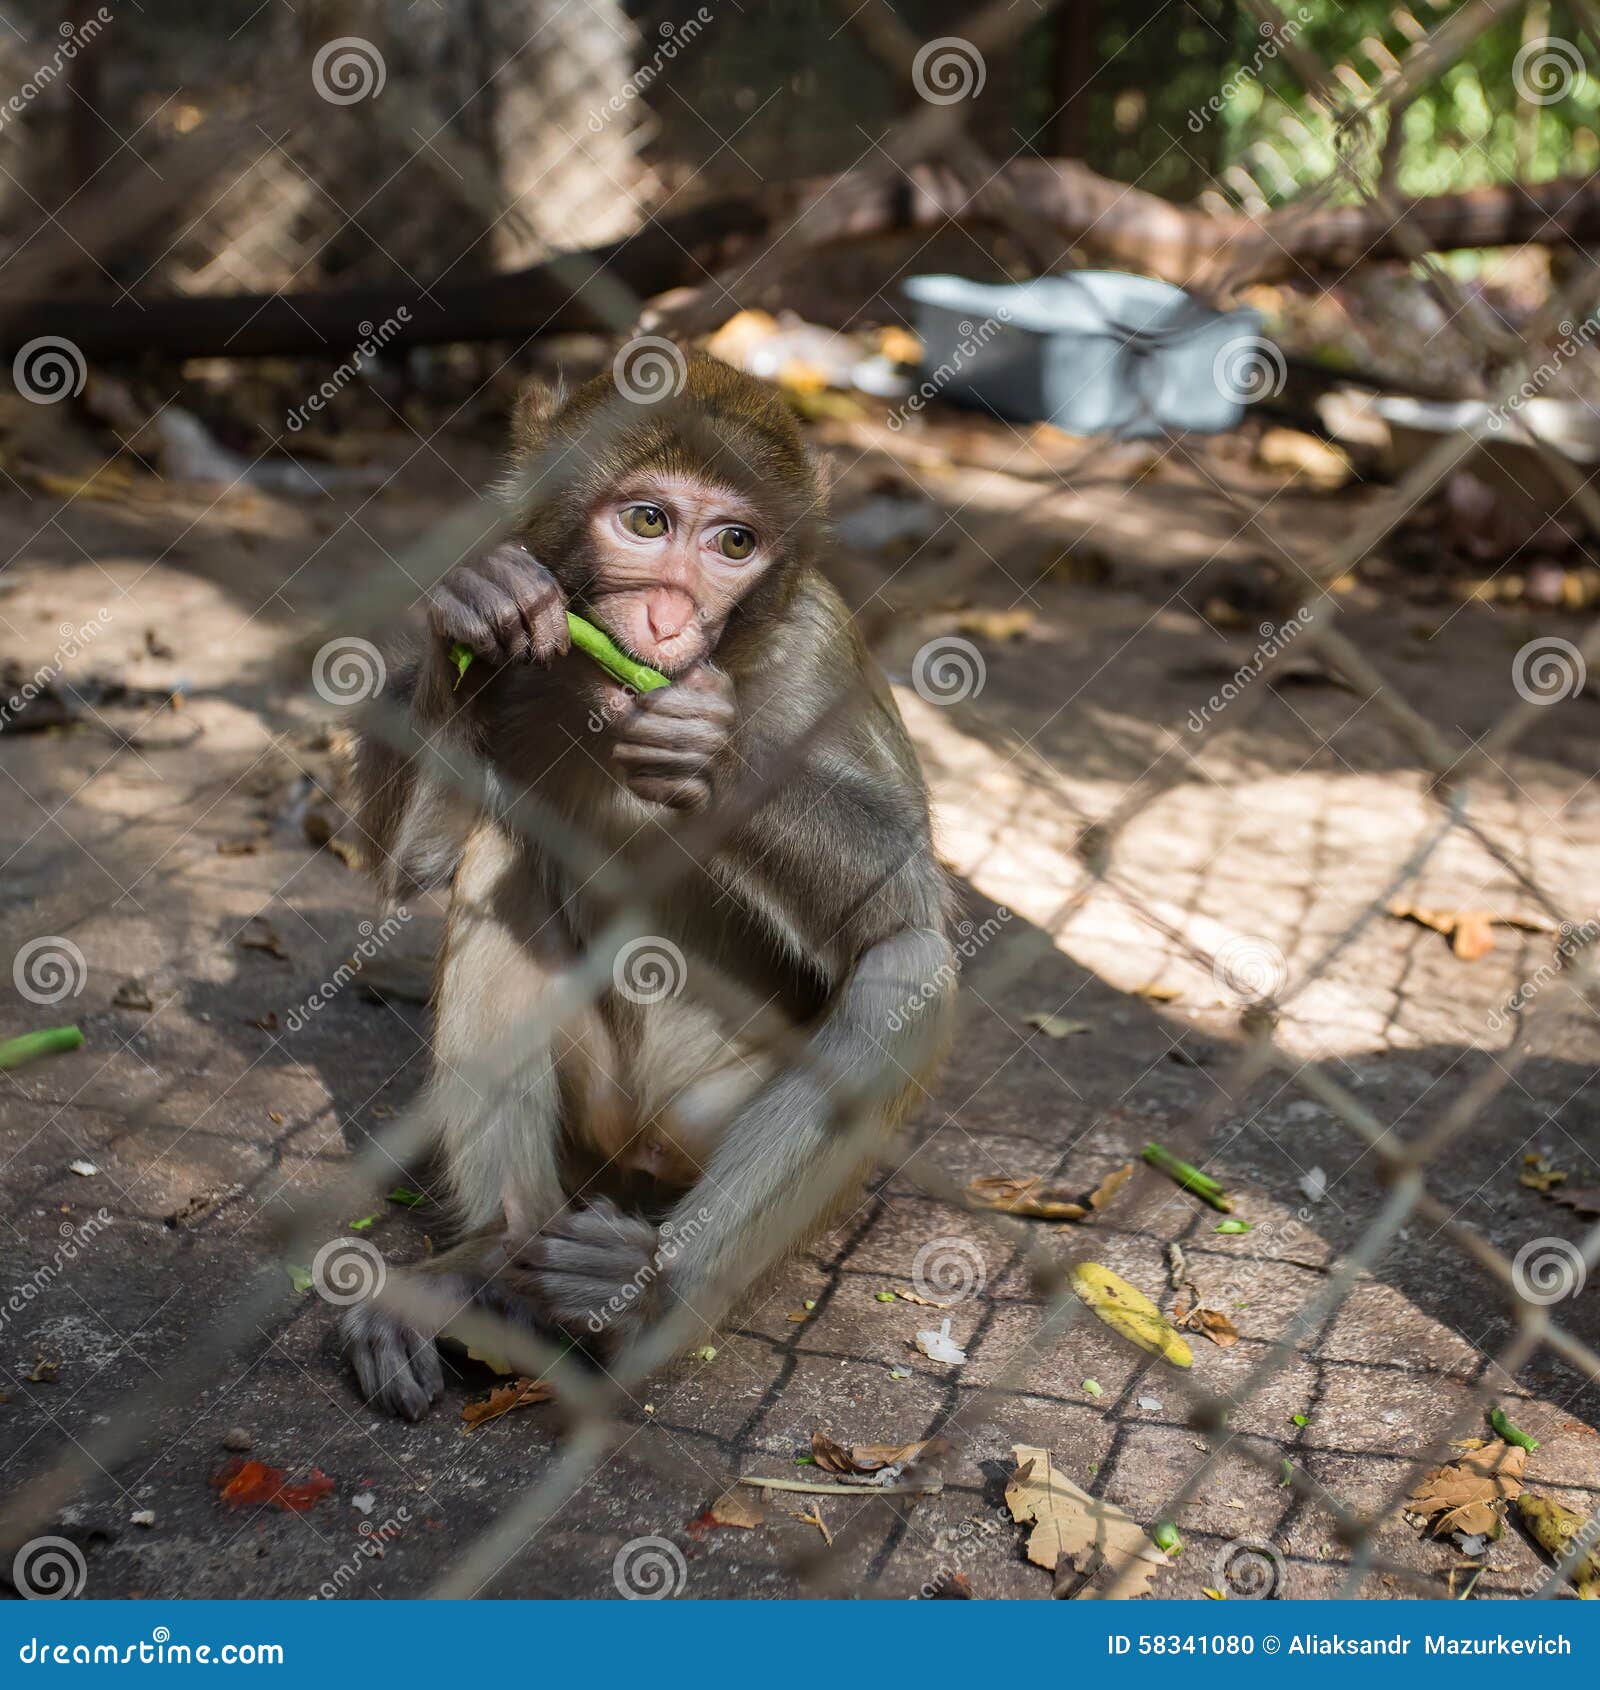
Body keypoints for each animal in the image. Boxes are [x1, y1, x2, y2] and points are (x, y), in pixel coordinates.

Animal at [340, 351, 955, 1419]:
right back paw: (491, 1256)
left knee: (907, 964)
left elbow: (905, 900)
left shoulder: (818, 650)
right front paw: (474, 613)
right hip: (592, 1124)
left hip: (707, 1129)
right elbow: (412, 866)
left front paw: (715, 748)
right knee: (497, 855)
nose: (669, 618)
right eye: (646, 522)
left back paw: (647, 1296)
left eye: (734, 542)